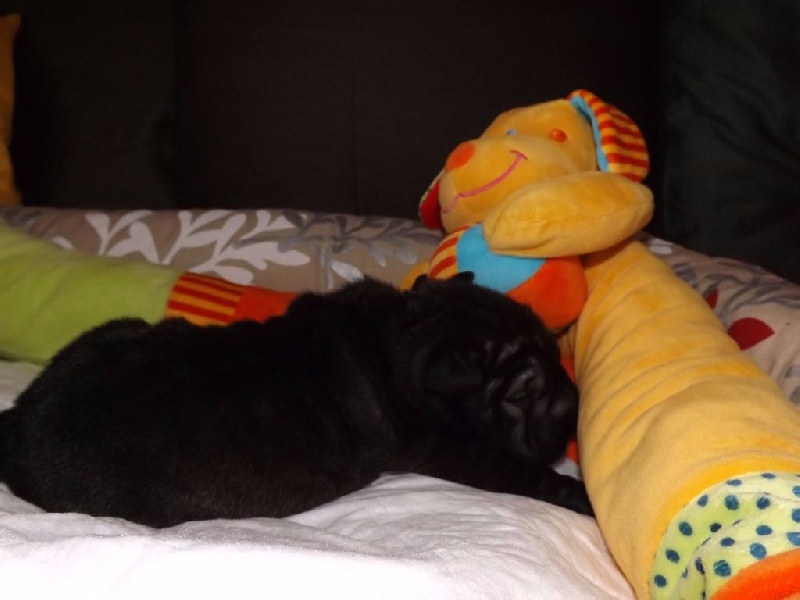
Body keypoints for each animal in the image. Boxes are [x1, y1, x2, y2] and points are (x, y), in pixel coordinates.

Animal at [0, 275, 591, 527]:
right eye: (524, 392)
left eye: (553, 347)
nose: (576, 406)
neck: (400, 331)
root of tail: (19, 423)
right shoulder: (445, 446)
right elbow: (520, 470)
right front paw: (576, 494)